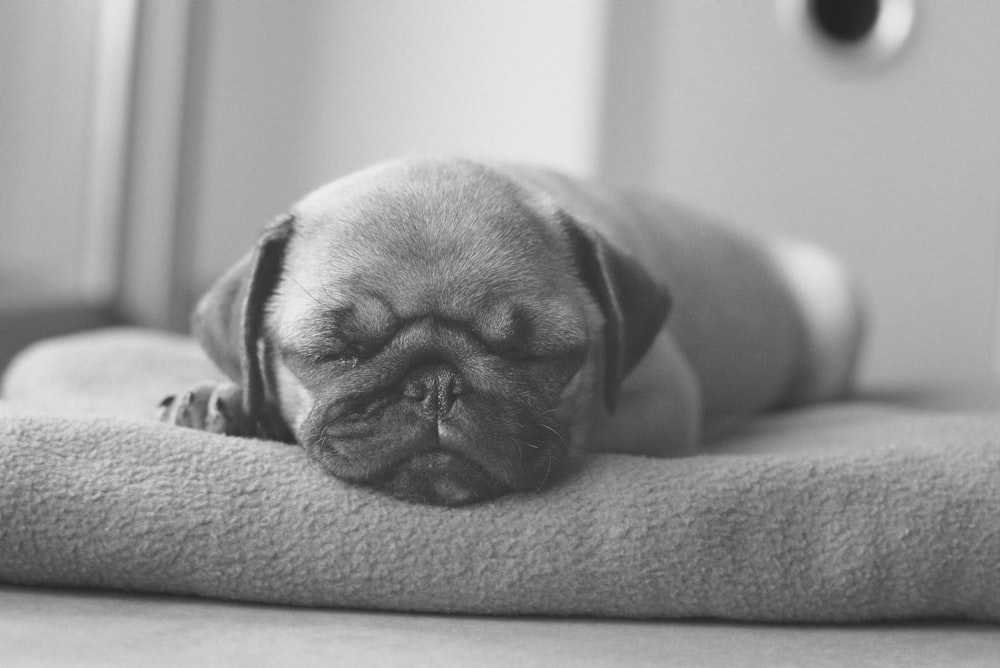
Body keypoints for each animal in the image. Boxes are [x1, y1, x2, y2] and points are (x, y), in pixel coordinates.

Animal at [160, 157, 864, 504]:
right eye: (339, 352)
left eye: (533, 355)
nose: (435, 386)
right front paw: (228, 400)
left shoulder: (666, 400)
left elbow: (581, 429)